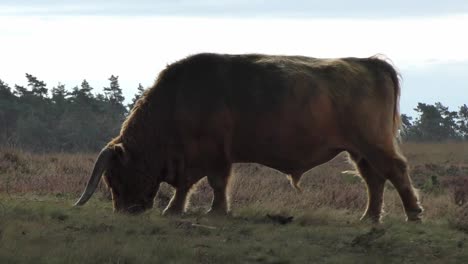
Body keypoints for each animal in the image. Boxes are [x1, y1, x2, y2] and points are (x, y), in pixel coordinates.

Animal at [74, 52, 424, 222]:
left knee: (394, 171)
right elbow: (194, 186)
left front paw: (206, 210)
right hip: (359, 149)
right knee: (374, 179)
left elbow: (212, 183)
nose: (126, 211)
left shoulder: (212, 153)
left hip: (372, 143)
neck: (176, 100)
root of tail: (370, 63)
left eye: (115, 177)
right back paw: (370, 217)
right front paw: (181, 209)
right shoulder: (200, 156)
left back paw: (413, 214)